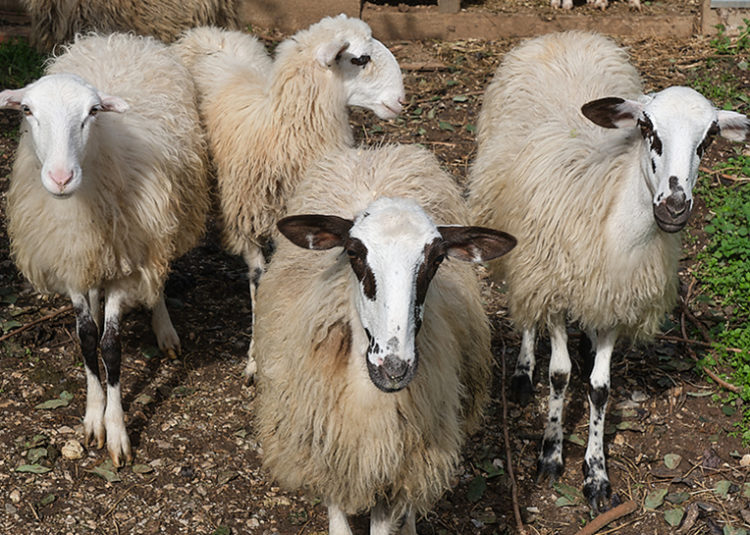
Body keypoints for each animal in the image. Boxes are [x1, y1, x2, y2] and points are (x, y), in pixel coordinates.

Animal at [0, 34, 212, 468]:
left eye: (92, 112)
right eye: (27, 110)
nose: (61, 177)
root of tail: (118, 38)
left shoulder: (128, 265)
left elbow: (112, 348)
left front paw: (116, 432)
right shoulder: (72, 259)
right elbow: (86, 339)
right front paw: (93, 417)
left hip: (159, 230)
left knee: (157, 281)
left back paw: (165, 330)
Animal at [172, 14, 406, 382]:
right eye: (360, 59)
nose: (400, 100)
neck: (281, 130)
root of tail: (205, 31)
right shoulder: (248, 221)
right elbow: (258, 281)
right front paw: (255, 360)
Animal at [253, 144, 516, 535]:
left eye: (438, 259)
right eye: (353, 252)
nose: (393, 368)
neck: (369, 396)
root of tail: (373, 152)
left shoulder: (396, 468)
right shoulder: (328, 455)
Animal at [470, 30, 750, 516]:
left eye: (709, 138)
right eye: (647, 128)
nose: (674, 207)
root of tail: (562, 35)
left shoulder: (618, 298)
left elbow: (600, 388)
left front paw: (596, 474)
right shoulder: (556, 288)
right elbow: (559, 374)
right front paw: (550, 452)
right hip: (521, 245)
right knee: (525, 308)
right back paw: (523, 370)